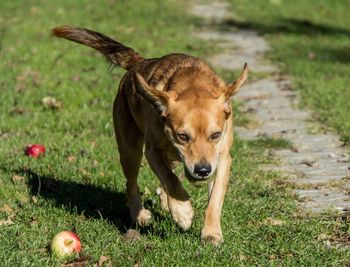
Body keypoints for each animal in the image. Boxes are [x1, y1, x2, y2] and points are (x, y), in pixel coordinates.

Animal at [52, 26, 249, 246]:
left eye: (216, 135)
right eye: (182, 136)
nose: (203, 170)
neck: (192, 82)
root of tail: (139, 63)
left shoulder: (222, 158)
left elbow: (214, 198)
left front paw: (211, 232)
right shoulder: (152, 152)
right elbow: (170, 179)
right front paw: (182, 212)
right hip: (130, 151)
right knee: (131, 184)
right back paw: (140, 214)